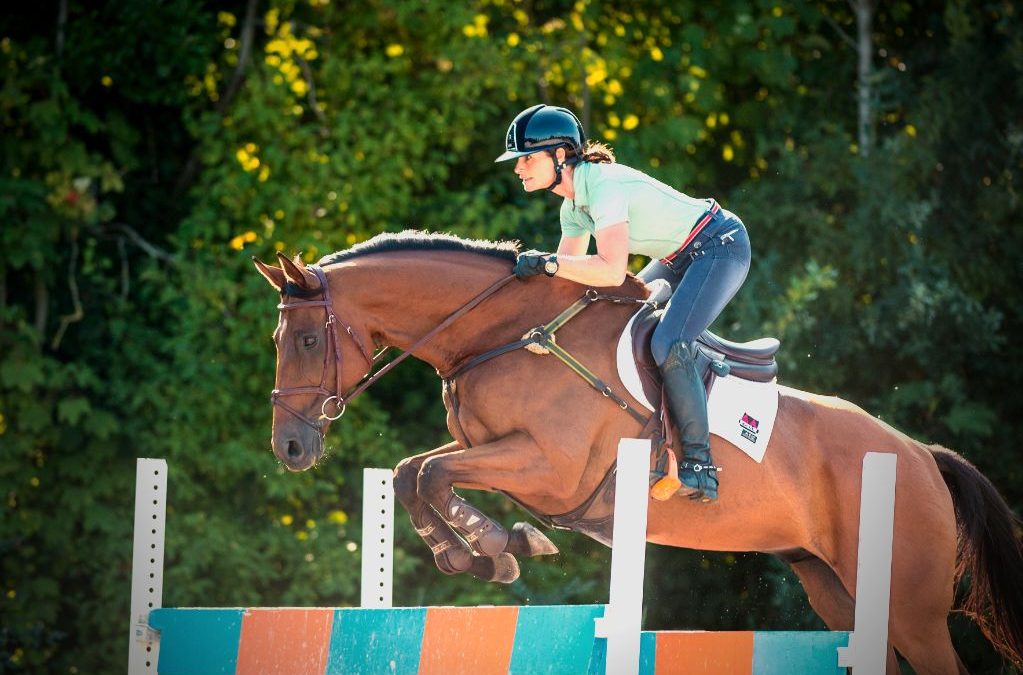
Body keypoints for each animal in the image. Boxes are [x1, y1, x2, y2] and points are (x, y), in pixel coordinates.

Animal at [253, 231, 1023, 674]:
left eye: (309, 339)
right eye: (281, 340)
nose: (290, 447)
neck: (505, 332)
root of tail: (920, 456)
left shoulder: (551, 468)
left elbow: (433, 473)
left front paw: (499, 546)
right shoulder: (489, 447)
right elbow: (415, 473)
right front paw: (479, 551)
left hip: (912, 607)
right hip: (837, 590)